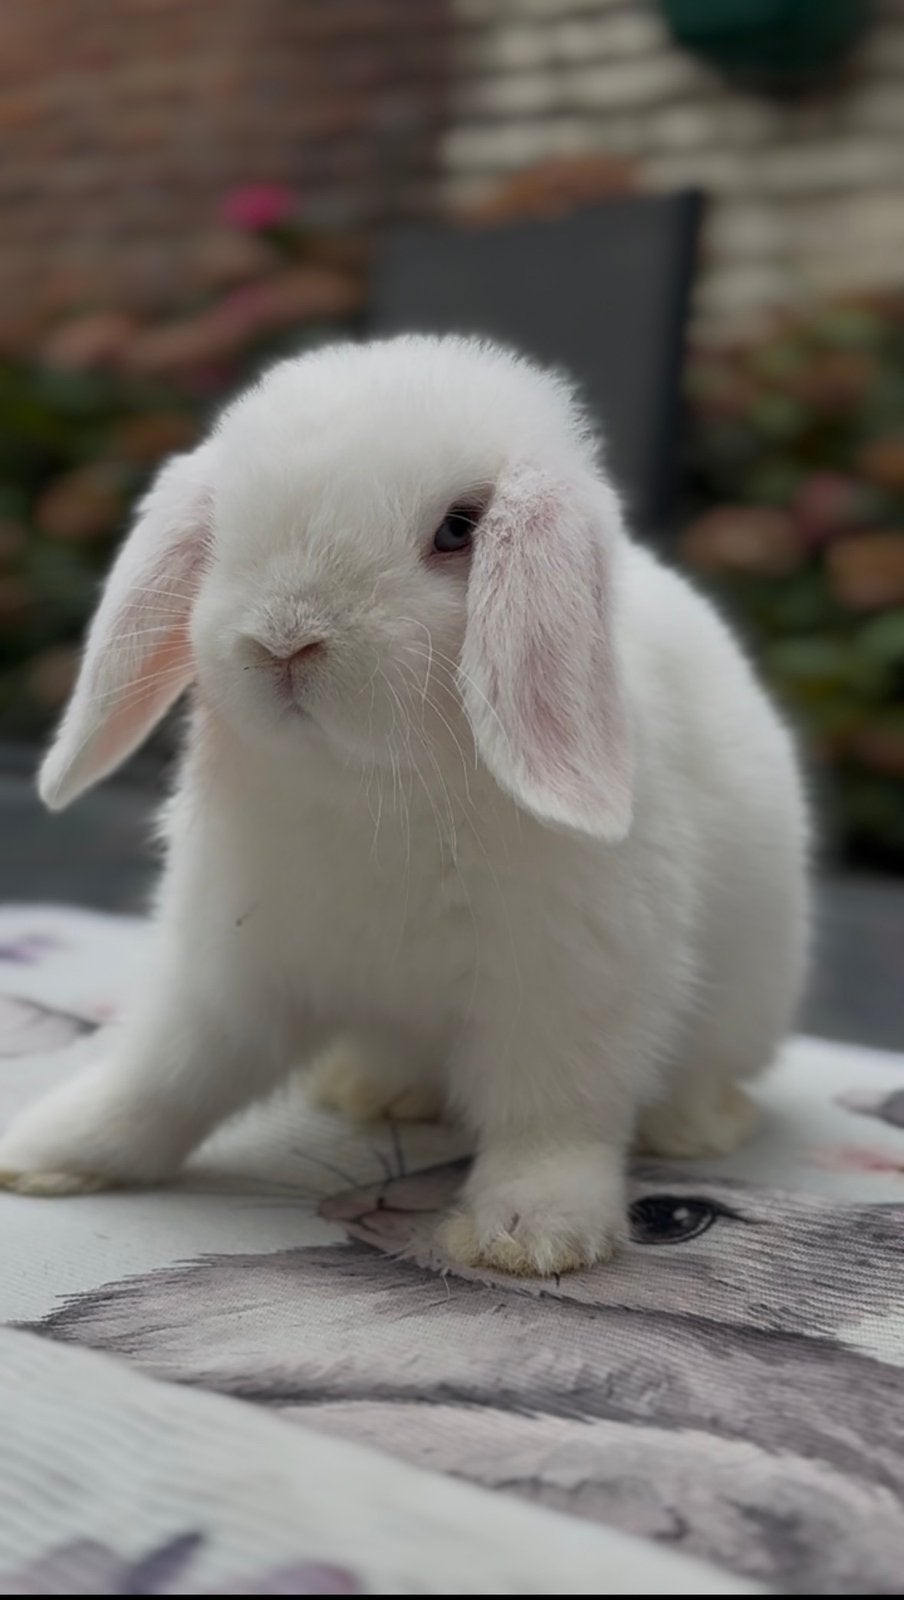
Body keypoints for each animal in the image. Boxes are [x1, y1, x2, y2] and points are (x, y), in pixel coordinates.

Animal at [0, 335, 809, 1273]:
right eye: (225, 529)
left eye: (458, 529)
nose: (283, 638)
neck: (368, 789)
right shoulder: (226, 975)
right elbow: (165, 1078)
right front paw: (47, 1153)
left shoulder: (569, 988)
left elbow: (554, 1114)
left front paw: (532, 1235)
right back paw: (373, 1092)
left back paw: (695, 1127)